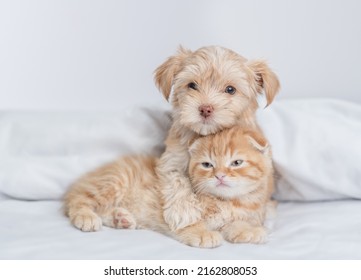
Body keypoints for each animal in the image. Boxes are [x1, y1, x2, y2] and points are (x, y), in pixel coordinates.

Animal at [64, 127, 272, 247]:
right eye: (207, 165)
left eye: (237, 163)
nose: (219, 176)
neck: (227, 201)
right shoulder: (178, 207)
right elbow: (189, 220)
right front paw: (202, 234)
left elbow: (235, 224)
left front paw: (250, 231)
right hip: (114, 181)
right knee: (78, 200)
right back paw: (87, 217)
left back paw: (120, 219)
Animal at [153, 46, 280, 231]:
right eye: (192, 85)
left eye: (230, 89)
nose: (205, 109)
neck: (209, 134)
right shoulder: (172, 160)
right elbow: (176, 179)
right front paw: (182, 211)